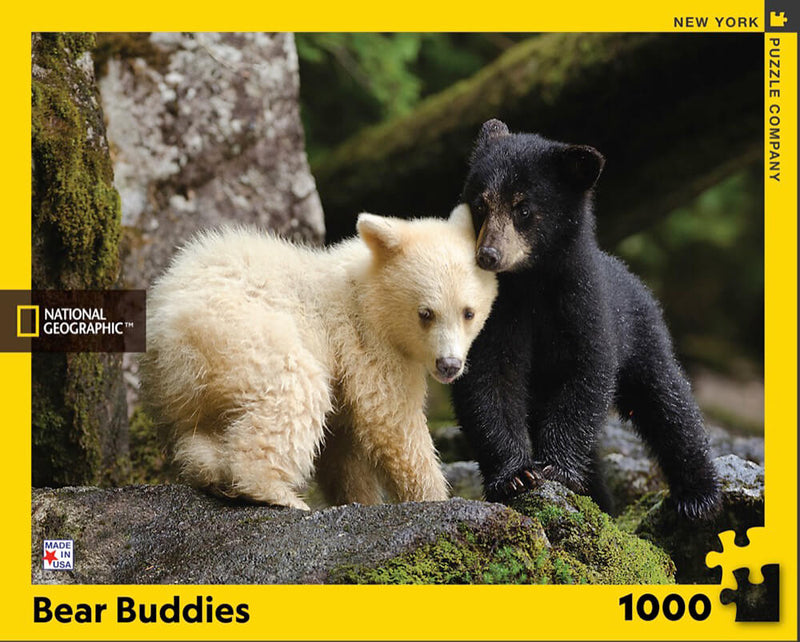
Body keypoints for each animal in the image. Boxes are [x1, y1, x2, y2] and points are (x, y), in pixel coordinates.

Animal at [140, 205, 498, 510]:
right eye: (426, 313)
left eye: (468, 312)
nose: (449, 365)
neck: (368, 294)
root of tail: (165, 331)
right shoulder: (367, 343)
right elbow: (392, 420)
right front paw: (433, 496)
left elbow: (343, 450)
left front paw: (360, 499)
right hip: (241, 333)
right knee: (295, 389)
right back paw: (275, 492)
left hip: (189, 386)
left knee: (200, 430)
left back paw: (211, 472)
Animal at [450, 119, 720, 520]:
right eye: (480, 204)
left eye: (523, 208)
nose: (488, 255)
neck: (531, 282)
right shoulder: (494, 313)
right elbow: (488, 378)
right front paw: (516, 476)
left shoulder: (584, 303)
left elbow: (586, 372)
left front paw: (556, 468)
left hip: (643, 335)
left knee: (668, 402)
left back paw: (698, 495)